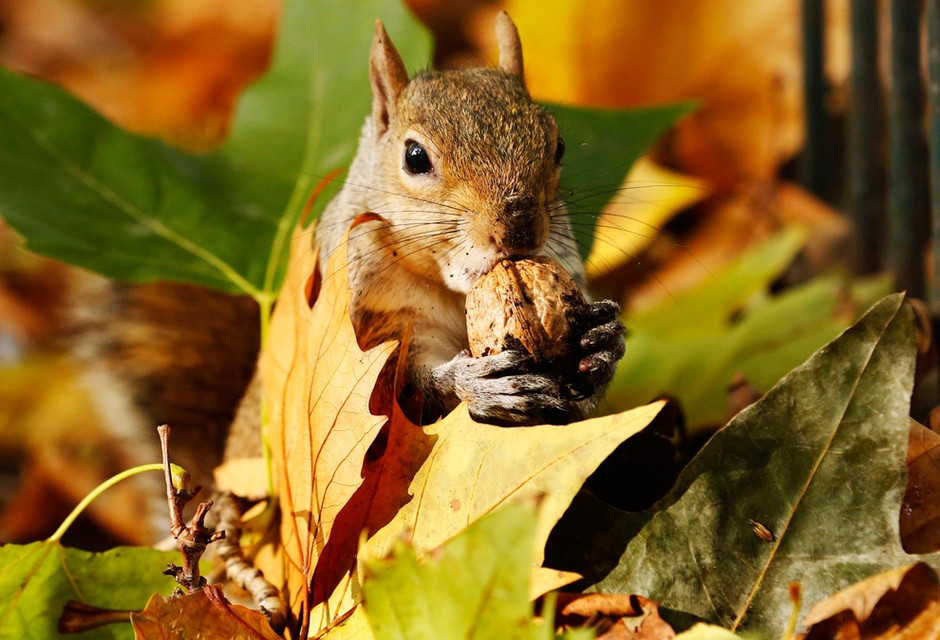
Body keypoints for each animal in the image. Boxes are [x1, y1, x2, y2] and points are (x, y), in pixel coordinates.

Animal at [71, 12, 624, 482]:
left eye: (557, 145)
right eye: (415, 157)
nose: (519, 230)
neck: (449, 289)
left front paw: (602, 342)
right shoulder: (368, 321)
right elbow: (396, 398)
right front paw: (477, 383)